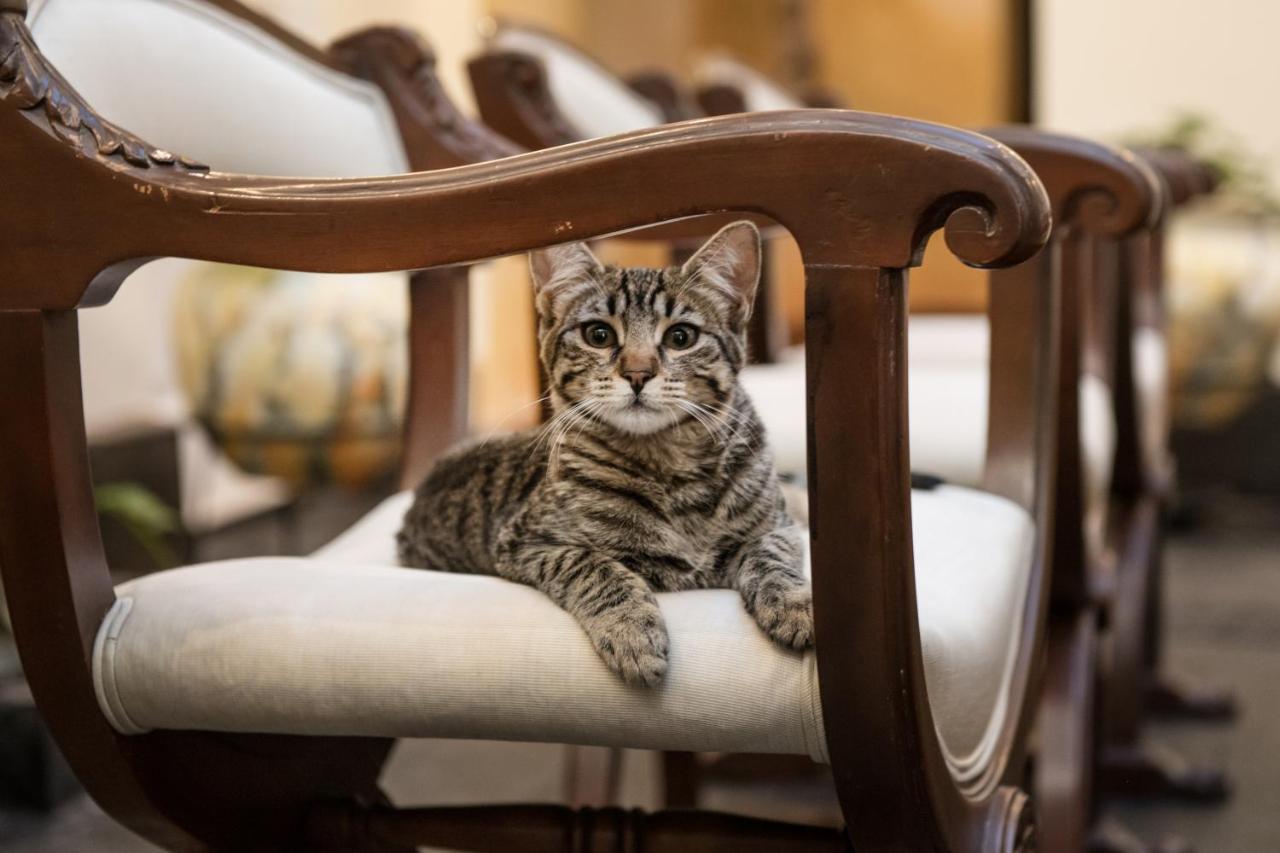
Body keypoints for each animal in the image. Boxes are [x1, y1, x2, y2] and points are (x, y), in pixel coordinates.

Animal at [396, 220, 808, 686]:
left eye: (681, 337)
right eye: (599, 334)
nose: (638, 373)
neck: (671, 467)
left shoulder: (775, 527)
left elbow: (772, 557)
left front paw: (796, 603)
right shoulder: (527, 541)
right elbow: (596, 566)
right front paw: (632, 631)